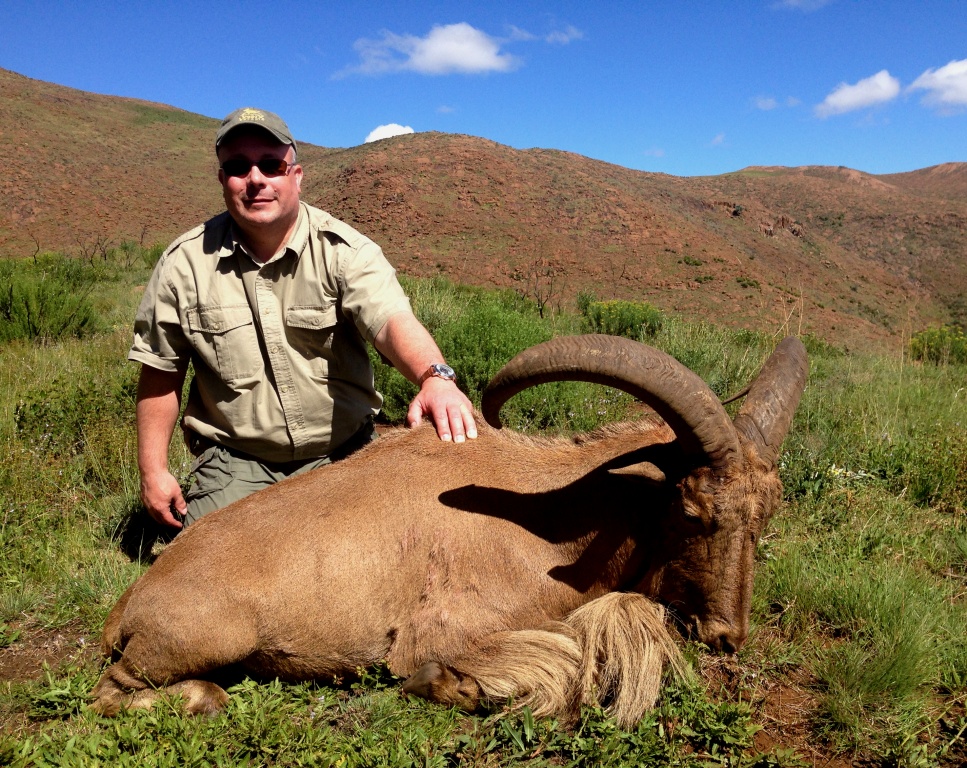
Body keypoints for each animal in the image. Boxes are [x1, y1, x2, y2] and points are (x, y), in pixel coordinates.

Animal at [90, 334, 808, 727]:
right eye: (691, 510)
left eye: (765, 517)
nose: (725, 636)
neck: (557, 522)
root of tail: (133, 599)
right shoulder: (451, 630)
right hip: (202, 638)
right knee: (118, 693)